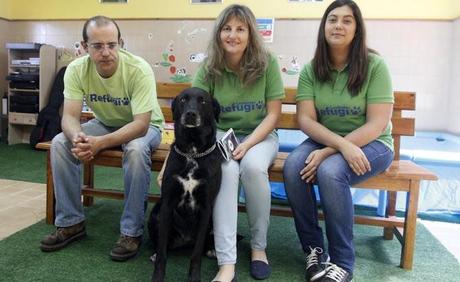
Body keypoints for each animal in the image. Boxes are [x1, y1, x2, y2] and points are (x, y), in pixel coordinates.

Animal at [149, 87, 223, 280]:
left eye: (203, 100)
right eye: (183, 99)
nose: (190, 114)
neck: (192, 153)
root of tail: (185, 240)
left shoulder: (206, 208)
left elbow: (196, 254)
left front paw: (194, 277)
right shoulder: (167, 204)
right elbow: (162, 252)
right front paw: (158, 276)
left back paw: (211, 250)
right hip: (156, 214)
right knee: (163, 244)